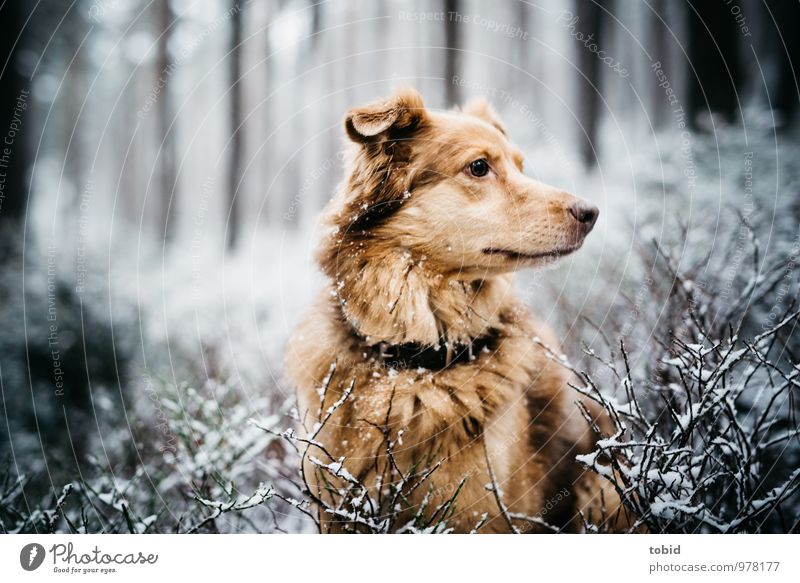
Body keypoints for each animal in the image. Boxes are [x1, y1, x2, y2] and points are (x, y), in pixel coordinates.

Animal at [288, 88, 632, 532]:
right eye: (479, 167)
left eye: (521, 166)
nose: (590, 212)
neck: (416, 365)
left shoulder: (482, 514)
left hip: (604, 494)